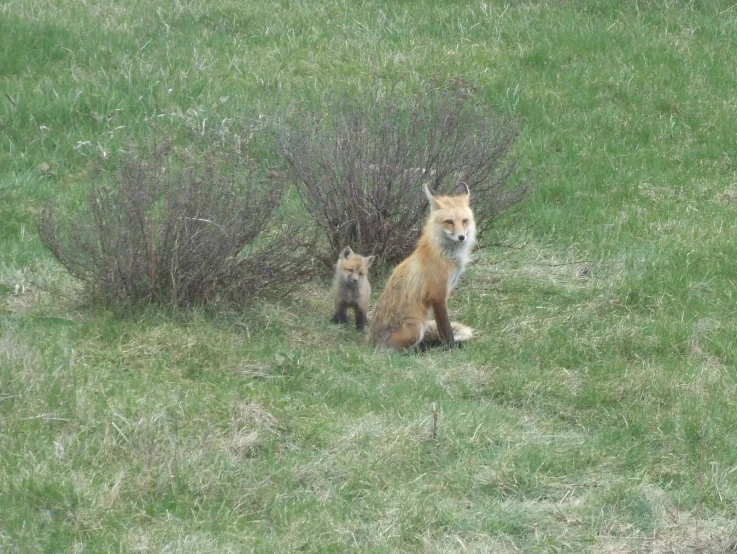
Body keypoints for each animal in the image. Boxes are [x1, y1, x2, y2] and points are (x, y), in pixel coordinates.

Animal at [368, 184, 478, 350]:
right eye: (449, 221)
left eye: (465, 221)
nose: (461, 237)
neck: (446, 255)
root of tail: (370, 343)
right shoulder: (437, 295)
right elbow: (446, 328)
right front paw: (451, 348)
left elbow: (443, 329)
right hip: (416, 328)